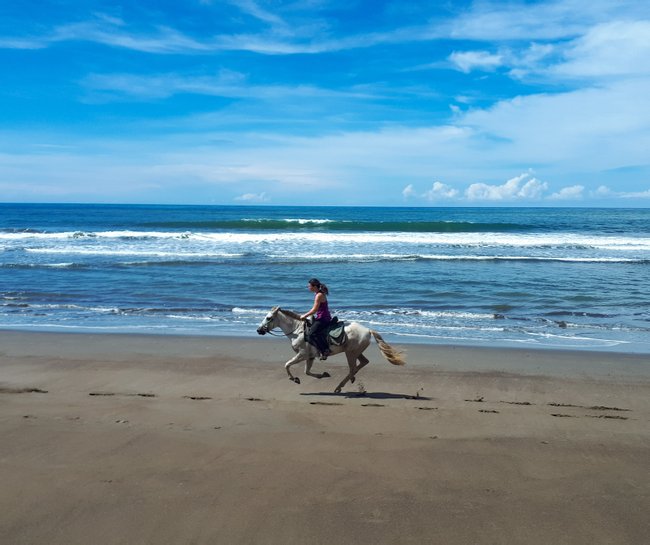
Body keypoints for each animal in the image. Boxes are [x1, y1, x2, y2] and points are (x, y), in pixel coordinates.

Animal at [256, 306, 402, 392]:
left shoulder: (302, 355)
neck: (297, 331)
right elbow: (307, 372)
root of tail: (368, 330)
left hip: (350, 353)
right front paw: (323, 375)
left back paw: (340, 386)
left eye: (268, 318)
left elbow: (287, 365)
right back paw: (350, 380)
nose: (258, 330)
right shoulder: (310, 357)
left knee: (353, 368)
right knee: (363, 362)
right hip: (355, 352)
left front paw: (294, 379)